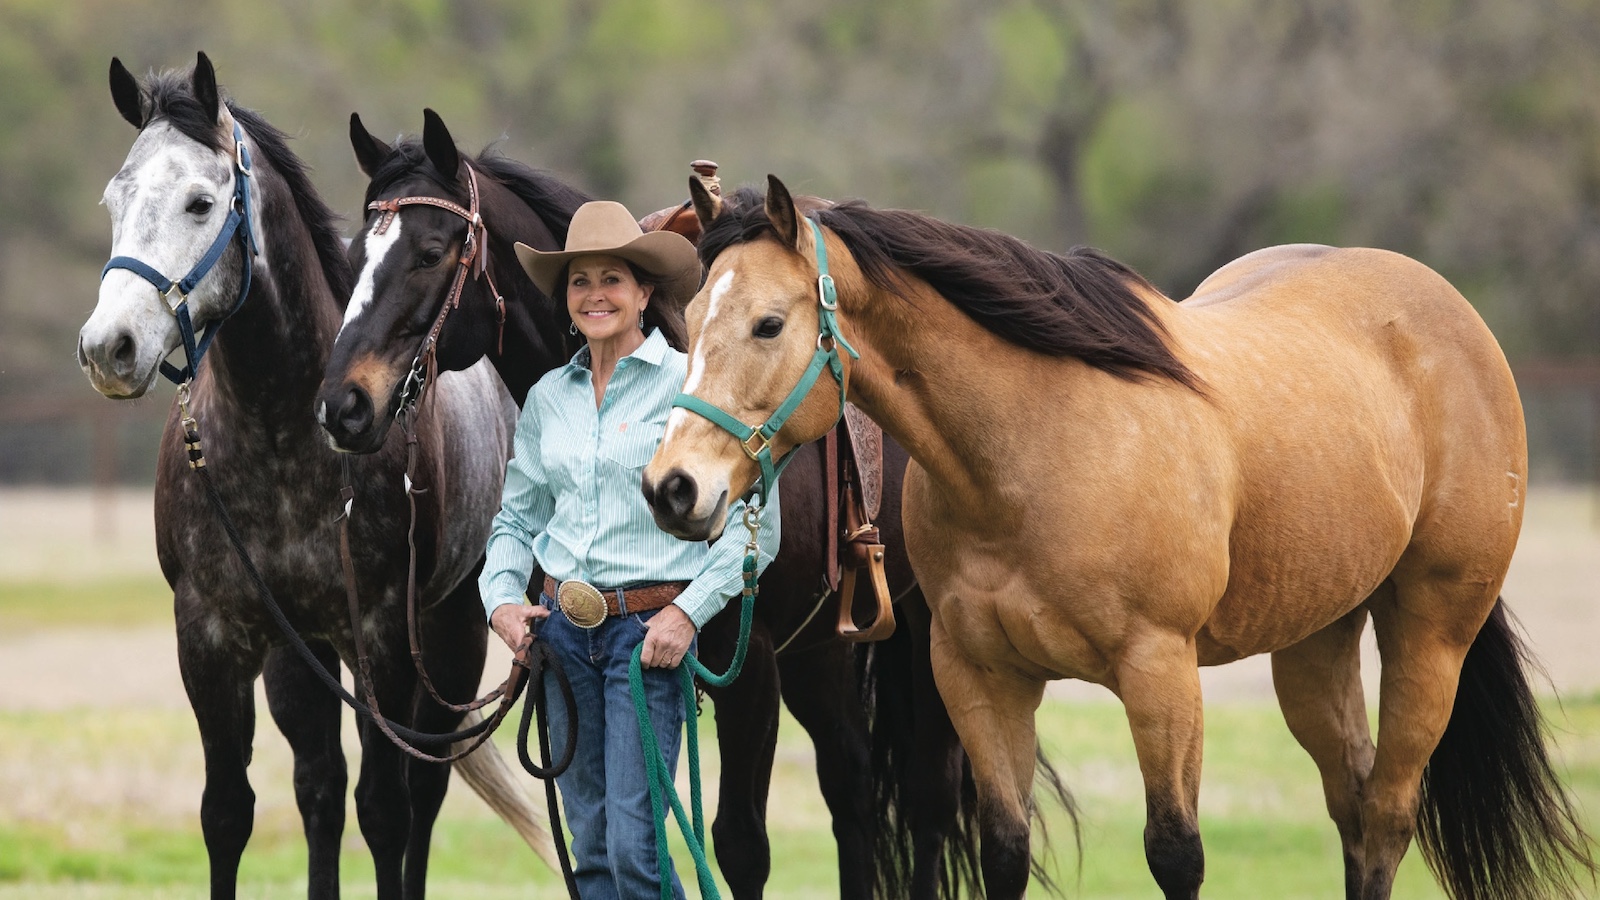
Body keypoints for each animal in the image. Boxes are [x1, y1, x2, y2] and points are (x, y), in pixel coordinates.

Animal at [77, 54, 549, 899]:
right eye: (115, 199)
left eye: (201, 202)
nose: (109, 348)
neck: (280, 438)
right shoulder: (216, 636)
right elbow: (230, 812)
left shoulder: (383, 635)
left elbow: (387, 811)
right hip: (301, 655)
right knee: (319, 786)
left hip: (450, 633)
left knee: (421, 790)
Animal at [311, 110, 999, 898]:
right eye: (355, 252)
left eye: (429, 252)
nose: (342, 406)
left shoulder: (748, 664)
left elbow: (737, 845)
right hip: (822, 652)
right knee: (852, 788)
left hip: (926, 640)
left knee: (927, 799)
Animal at [641, 175, 1599, 900]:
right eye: (691, 314)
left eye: (768, 322)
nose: (672, 487)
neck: (1037, 443)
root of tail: (1452, 316)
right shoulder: (980, 677)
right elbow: (1003, 852)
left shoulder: (1159, 672)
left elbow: (1175, 854)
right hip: (1316, 643)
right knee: (1354, 807)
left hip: (1431, 634)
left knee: (1392, 812)